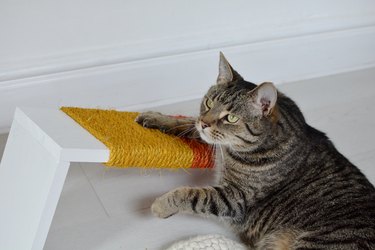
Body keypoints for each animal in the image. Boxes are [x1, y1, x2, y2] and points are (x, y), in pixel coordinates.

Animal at [136, 52, 375, 248]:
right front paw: (154, 118)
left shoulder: (235, 198)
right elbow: (185, 123)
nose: (205, 123)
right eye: (209, 102)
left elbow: (193, 194)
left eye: (231, 118)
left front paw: (161, 205)